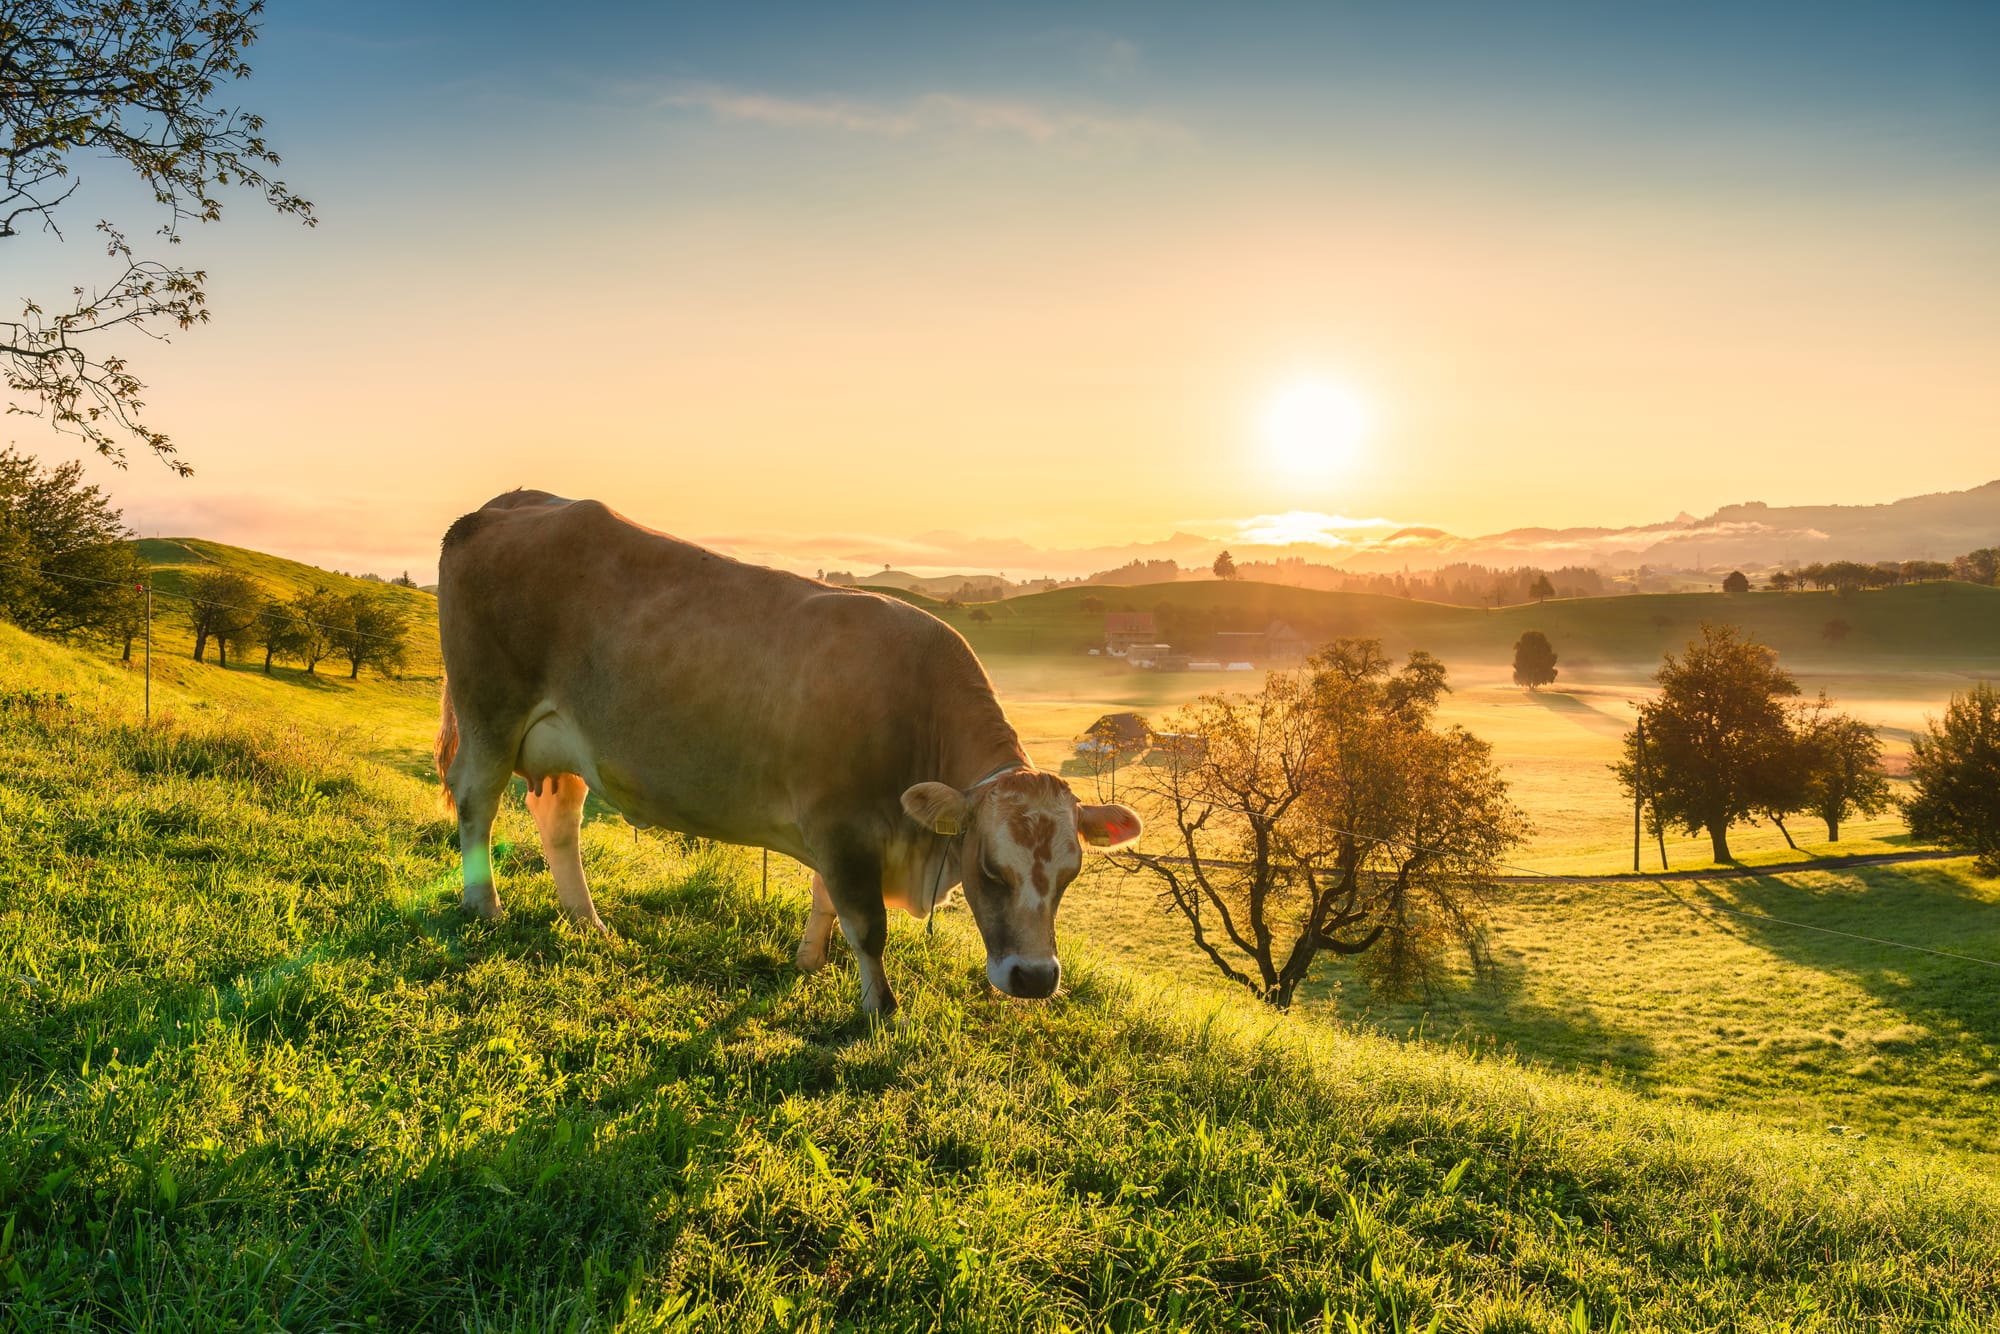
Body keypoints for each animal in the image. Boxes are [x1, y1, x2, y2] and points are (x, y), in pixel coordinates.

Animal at [434, 496, 1144, 1016]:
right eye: (992, 870)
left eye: (1071, 874)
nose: (1035, 978)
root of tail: (503, 505)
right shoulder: (842, 822)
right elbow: (865, 921)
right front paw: (883, 1011)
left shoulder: (842, 830)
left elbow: (826, 900)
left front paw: (808, 963)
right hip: (490, 712)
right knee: (476, 803)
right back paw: (484, 905)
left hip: (569, 739)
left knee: (558, 822)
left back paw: (587, 922)